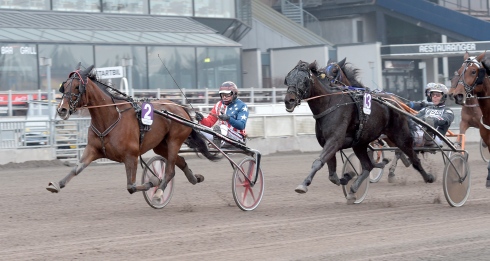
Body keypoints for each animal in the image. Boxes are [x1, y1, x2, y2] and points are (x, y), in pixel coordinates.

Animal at [47, 64, 219, 197]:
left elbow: (131, 186)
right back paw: (194, 178)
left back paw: (159, 192)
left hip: (174, 141)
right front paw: (57, 184)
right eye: (64, 86)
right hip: (160, 145)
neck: (110, 117)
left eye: (77, 87)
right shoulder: (92, 150)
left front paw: (153, 181)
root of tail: (180, 108)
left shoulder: (131, 155)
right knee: (181, 161)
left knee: (170, 171)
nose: (62, 109)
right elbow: (76, 168)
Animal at [284, 60, 432, 201]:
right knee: (368, 166)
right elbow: (332, 175)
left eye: (303, 79)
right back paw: (354, 189)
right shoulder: (329, 142)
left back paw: (428, 177)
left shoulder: (334, 141)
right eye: (288, 78)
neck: (329, 103)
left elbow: (318, 162)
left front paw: (303, 185)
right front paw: (348, 176)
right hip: (360, 144)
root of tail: (394, 102)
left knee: (412, 156)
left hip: (399, 135)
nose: (289, 100)